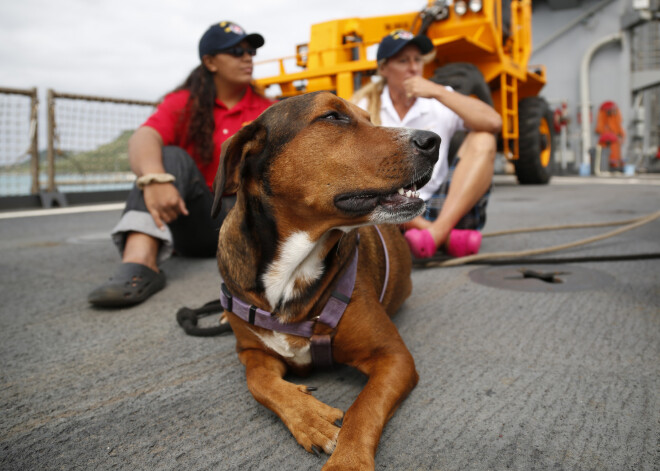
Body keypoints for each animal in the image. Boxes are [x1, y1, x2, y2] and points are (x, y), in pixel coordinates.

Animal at [211, 90, 438, 470]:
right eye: (332, 117)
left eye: (369, 118)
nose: (433, 140)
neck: (293, 269)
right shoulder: (251, 352)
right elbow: (258, 381)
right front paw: (309, 417)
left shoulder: (394, 358)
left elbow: (364, 408)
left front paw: (347, 461)